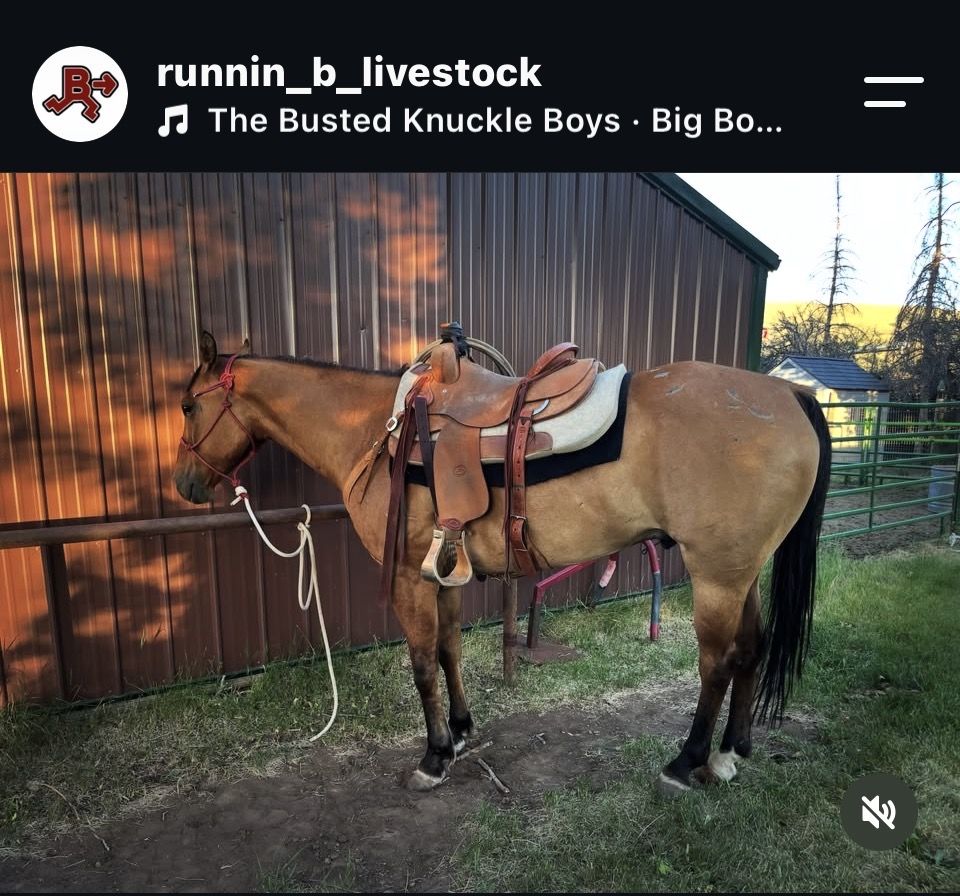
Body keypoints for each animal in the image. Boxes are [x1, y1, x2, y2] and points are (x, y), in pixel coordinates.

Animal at [173, 331, 830, 796]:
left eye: (186, 407)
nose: (184, 484)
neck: (374, 432)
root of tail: (789, 394)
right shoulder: (442, 573)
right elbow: (449, 651)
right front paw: (462, 733)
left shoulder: (409, 578)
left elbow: (421, 665)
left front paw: (434, 757)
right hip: (742, 572)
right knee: (753, 648)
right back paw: (729, 754)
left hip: (716, 575)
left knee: (717, 662)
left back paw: (686, 761)